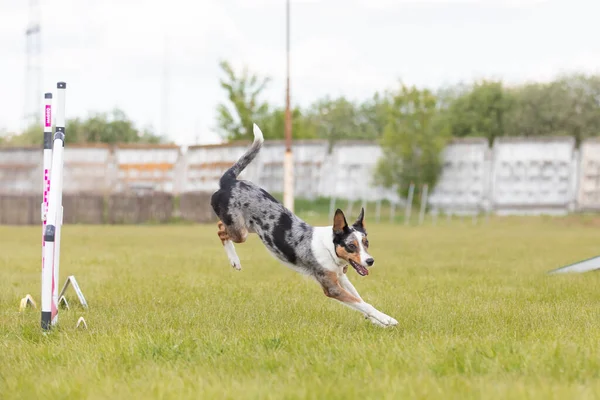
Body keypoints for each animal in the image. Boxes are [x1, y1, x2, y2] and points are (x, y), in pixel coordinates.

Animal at [211, 123, 398, 326]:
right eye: (351, 245)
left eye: (366, 243)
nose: (370, 261)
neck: (330, 249)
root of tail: (230, 181)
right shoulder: (332, 287)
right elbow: (364, 304)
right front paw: (386, 319)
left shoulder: (340, 276)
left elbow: (360, 299)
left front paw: (375, 320)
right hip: (240, 232)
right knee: (221, 231)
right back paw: (234, 260)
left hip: (249, 228)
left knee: (221, 226)